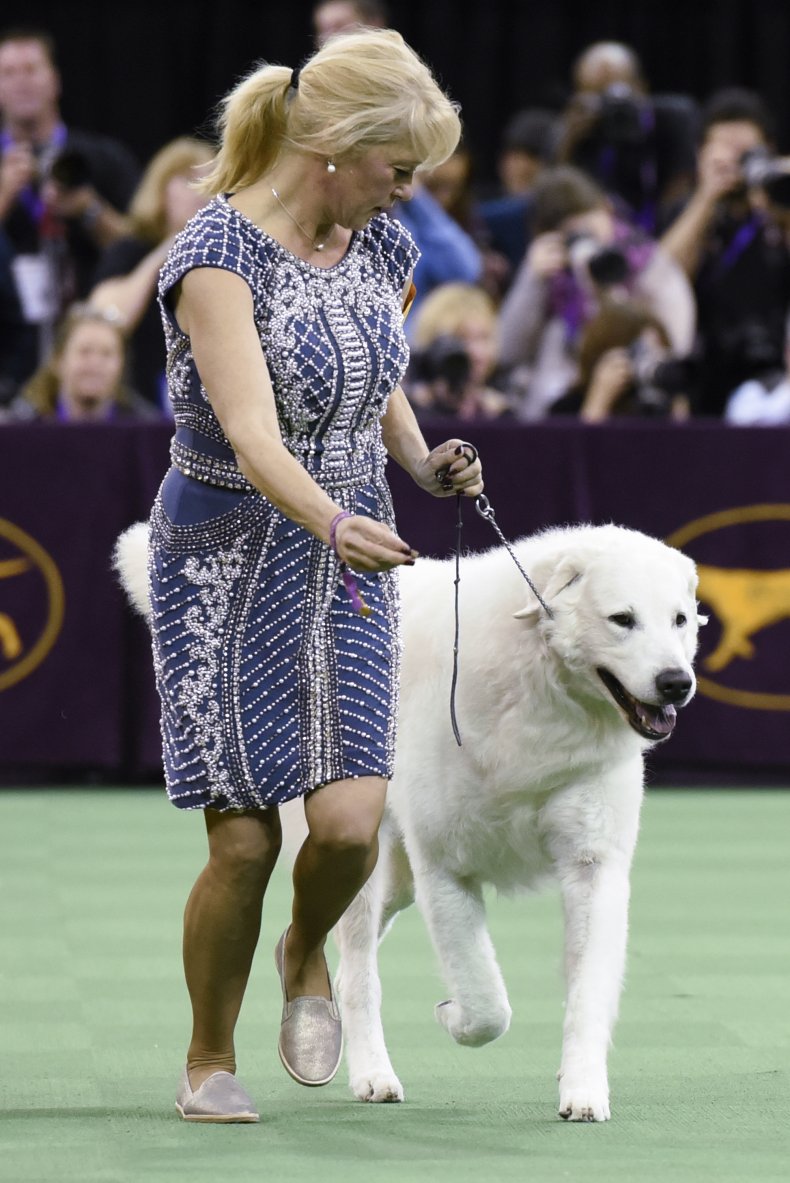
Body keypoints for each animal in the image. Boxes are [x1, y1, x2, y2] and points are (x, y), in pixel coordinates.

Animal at [112, 525, 704, 1116]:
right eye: (622, 619)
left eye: (679, 619)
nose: (677, 683)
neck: (538, 691)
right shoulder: (445, 870)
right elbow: (486, 1004)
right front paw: (450, 1014)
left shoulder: (593, 869)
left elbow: (587, 994)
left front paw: (582, 1090)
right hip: (358, 858)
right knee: (354, 972)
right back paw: (372, 1074)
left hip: (395, 880)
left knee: (332, 953)